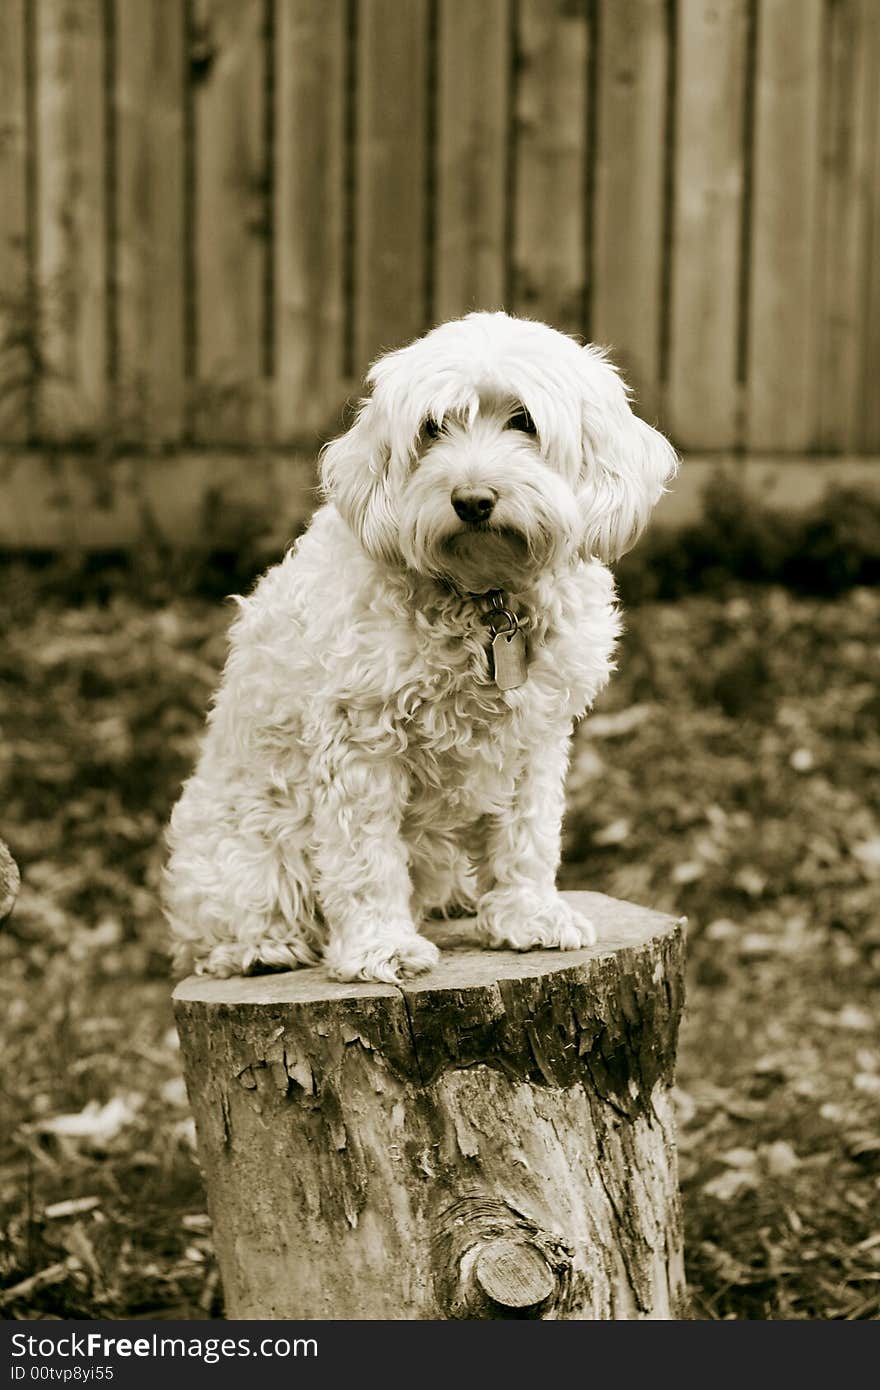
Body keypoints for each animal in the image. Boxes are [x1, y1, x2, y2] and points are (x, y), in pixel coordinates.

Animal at [161, 318, 675, 989]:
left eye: (524, 420)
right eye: (434, 427)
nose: (472, 499)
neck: (484, 598)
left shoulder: (535, 741)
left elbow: (527, 835)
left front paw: (528, 915)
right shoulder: (361, 745)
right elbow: (366, 859)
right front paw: (381, 947)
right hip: (246, 851)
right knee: (220, 926)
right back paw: (261, 947)